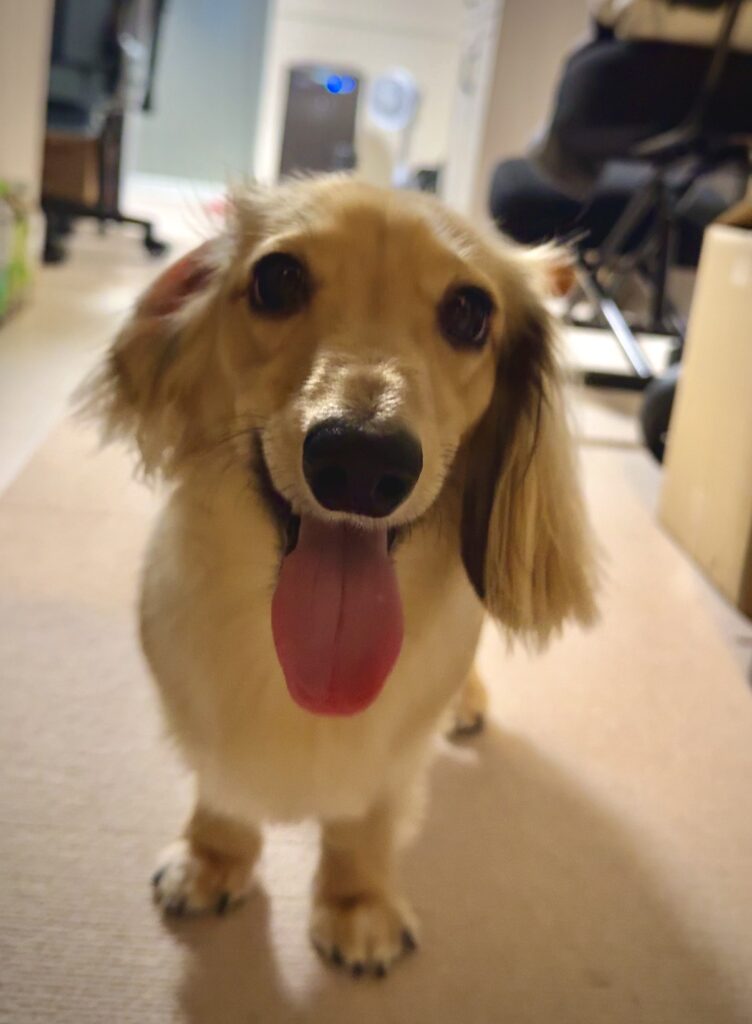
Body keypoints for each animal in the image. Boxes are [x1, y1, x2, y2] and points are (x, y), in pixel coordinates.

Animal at [83, 176, 596, 977]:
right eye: (277, 279)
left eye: (470, 311)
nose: (360, 459)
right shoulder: (206, 722)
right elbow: (223, 791)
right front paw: (213, 858)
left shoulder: (392, 760)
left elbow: (365, 824)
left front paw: (358, 906)